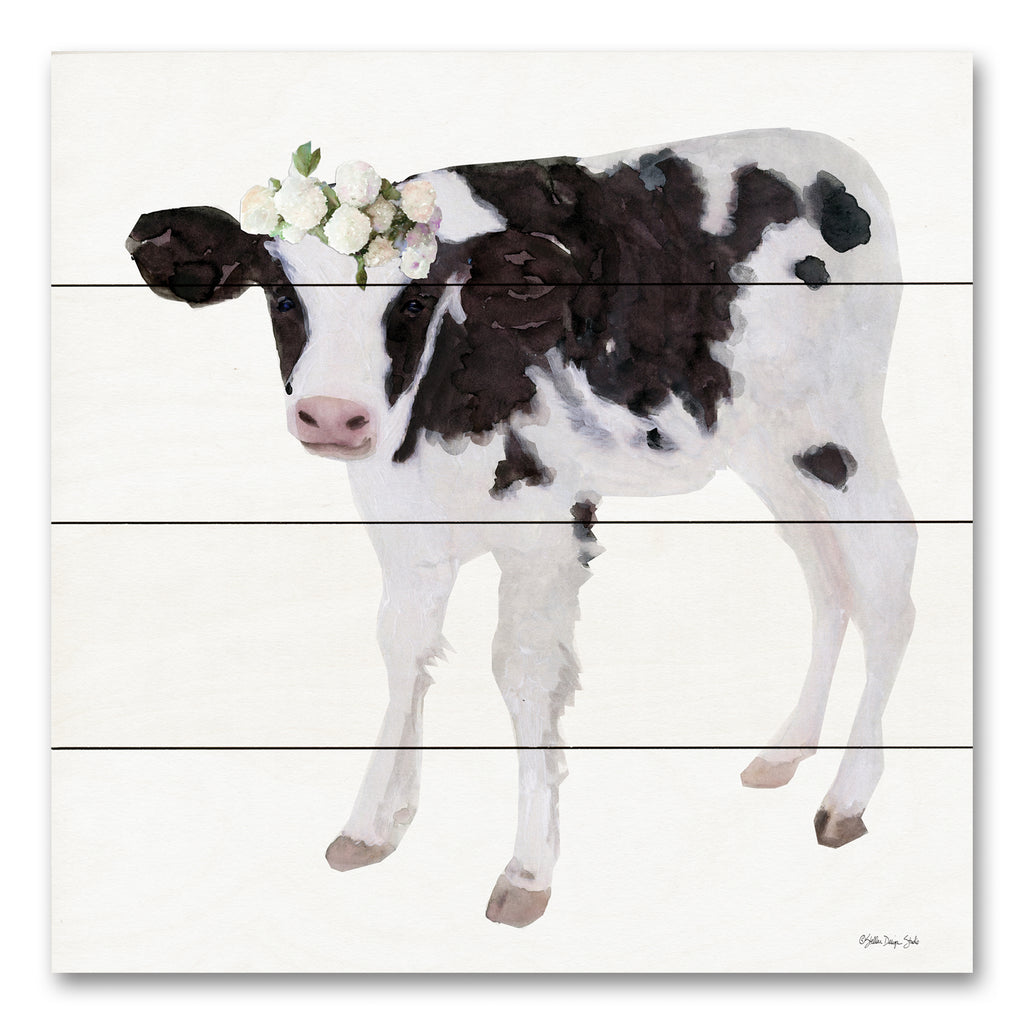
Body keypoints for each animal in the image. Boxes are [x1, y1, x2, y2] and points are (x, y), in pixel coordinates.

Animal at [126, 129, 916, 927]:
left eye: (416, 300)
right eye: (282, 295)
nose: (333, 416)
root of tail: (830, 153)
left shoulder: (544, 526)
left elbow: (522, 674)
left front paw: (528, 869)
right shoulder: (403, 519)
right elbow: (403, 651)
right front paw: (375, 821)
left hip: (838, 432)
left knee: (886, 589)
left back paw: (847, 798)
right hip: (772, 451)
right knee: (827, 580)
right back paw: (787, 750)